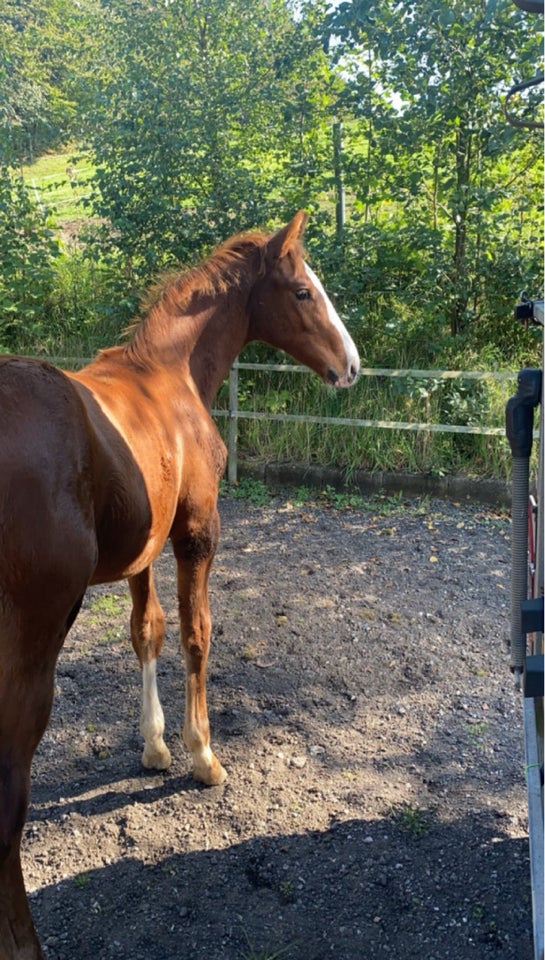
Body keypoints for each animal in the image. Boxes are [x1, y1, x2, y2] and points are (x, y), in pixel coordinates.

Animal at [0, 208, 356, 952]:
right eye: (303, 292)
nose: (351, 365)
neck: (168, 379)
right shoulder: (196, 533)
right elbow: (196, 635)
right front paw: (202, 755)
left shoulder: (145, 549)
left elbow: (147, 633)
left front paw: (155, 746)